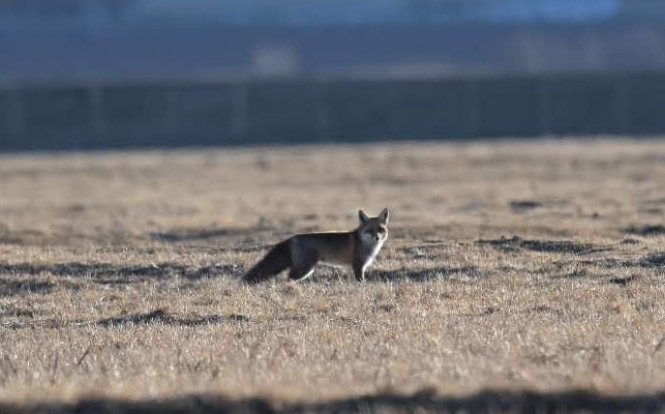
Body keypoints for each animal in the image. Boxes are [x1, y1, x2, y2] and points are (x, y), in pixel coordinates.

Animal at [240, 208, 390, 284]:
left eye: (380, 230)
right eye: (370, 230)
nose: (377, 237)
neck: (363, 243)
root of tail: (292, 237)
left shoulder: (355, 266)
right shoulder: (358, 265)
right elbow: (360, 281)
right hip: (305, 268)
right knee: (288, 277)